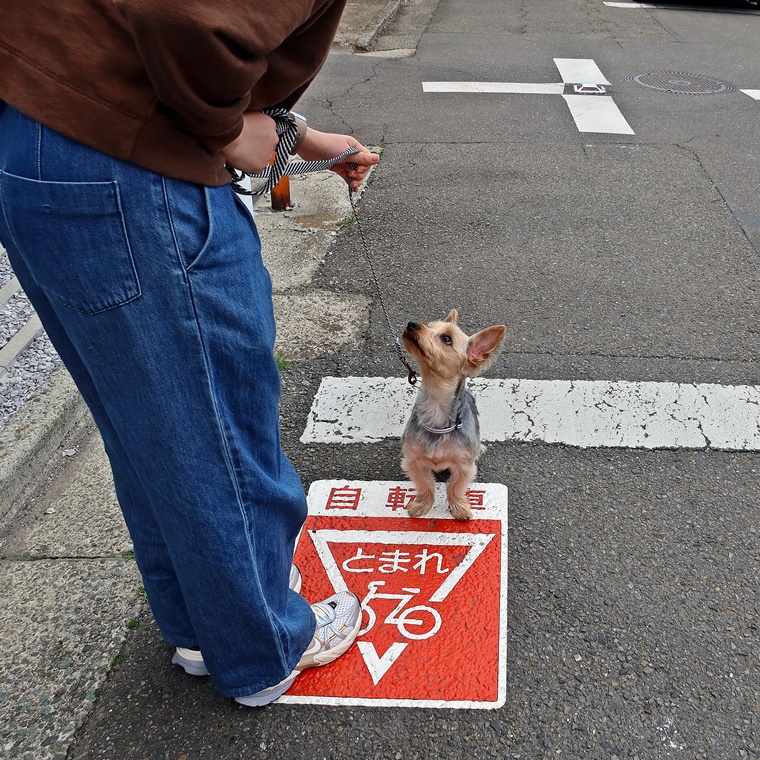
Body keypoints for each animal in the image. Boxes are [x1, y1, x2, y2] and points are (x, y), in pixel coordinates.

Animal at [400, 309, 506, 521]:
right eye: (430, 326)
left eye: (446, 339)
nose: (412, 324)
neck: (436, 407)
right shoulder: (412, 460)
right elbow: (425, 485)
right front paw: (422, 505)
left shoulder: (464, 465)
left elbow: (455, 488)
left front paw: (459, 509)